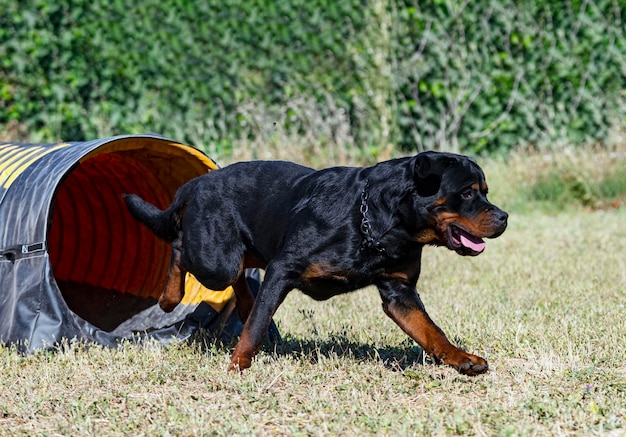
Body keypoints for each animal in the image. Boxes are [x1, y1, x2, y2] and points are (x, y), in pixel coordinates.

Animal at [124, 151, 504, 374]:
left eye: (485, 191)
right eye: (468, 192)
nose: (504, 217)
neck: (376, 222)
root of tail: (197, 182)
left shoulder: (400, 291)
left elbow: (430, 330)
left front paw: (461, 358)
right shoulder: (283, 269)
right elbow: (256, 328)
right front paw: (238, 367)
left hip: (240, 251)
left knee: (240, 272)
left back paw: (244, 302)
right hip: (215, 259)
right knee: (180, 247)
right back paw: (170, 298)